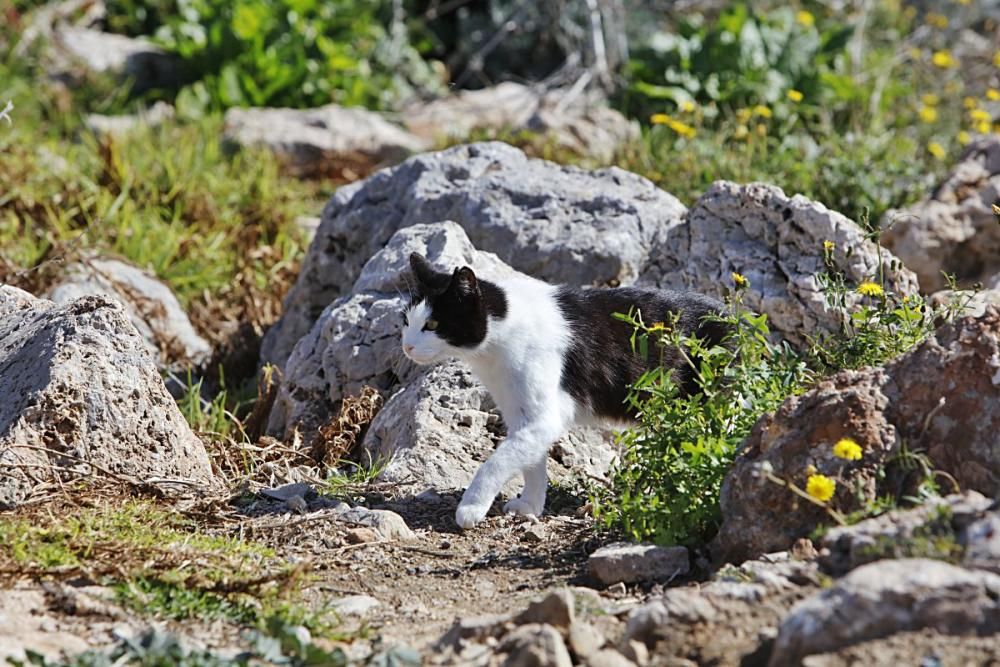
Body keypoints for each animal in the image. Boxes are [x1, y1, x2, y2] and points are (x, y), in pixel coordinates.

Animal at [398, 253, 728, 528]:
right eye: (406, 321)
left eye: (433, 324)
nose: (407, 346)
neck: (501, 334)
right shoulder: (522, 415)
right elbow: (530, 462)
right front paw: (530, 506)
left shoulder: (545, 418)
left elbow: (497, 460)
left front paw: (471, 507)